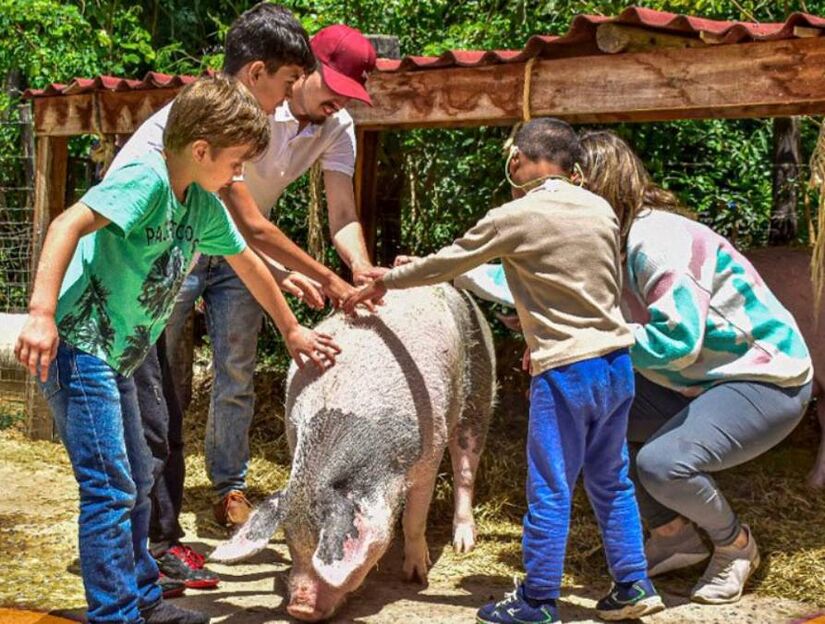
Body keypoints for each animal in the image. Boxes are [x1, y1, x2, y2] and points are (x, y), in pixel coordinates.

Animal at [212, 286, 496, 620]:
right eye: (291, 542)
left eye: (321, 543)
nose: (299, 607)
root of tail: (449, 288)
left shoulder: (429, 453)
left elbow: (414, 518)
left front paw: (416, 577)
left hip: (479, 385)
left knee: (465, 467)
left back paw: (463, 545)